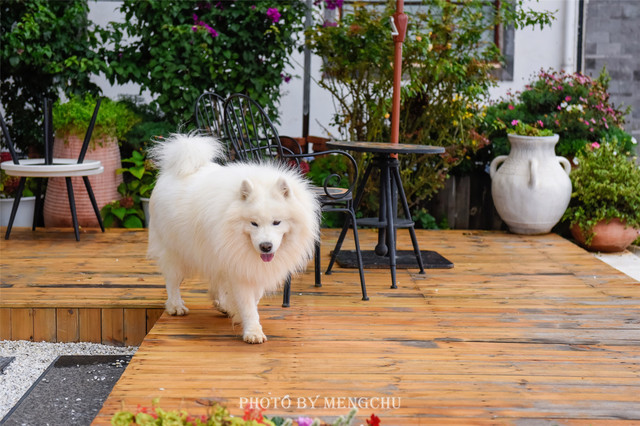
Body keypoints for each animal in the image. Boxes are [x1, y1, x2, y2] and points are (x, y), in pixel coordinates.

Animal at [147, 134, 320, 343]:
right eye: (253, 223)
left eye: (277, 222)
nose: (266, 246)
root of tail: (173, 170)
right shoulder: (239, 267)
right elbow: (248, 304)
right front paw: (253, 331)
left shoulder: (243, 264)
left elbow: (254, 297)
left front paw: (237, 313)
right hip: (175, 251)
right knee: (172, 280)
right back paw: (176, 306)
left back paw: (222, 305)